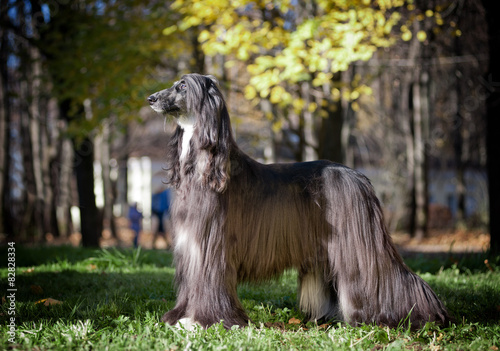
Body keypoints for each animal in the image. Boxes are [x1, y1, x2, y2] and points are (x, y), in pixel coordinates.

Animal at [147, 73, 450, 330]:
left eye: (182, 86)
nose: (151, 98)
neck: (202, 166)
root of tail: (359, 176)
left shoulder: (211, 245)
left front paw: (205, 320)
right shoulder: (191, 246)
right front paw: (181, 317)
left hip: (358, 241)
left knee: (384, 273)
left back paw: (411, 316)